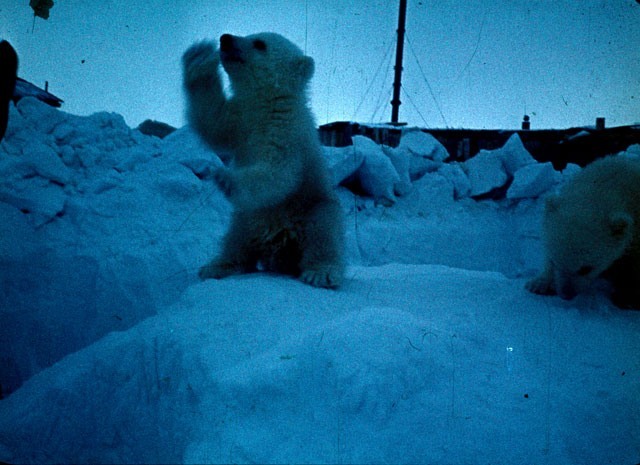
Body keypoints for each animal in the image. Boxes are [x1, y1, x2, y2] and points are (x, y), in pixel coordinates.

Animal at [182, 31, 344, 286]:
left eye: (260, 44)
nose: (225, 38)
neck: (265, 104)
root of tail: (280, 245)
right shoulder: (239, 121)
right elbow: (212, 122)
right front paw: (199, 57)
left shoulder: (286, 133)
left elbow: (277, 173)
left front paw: (226, 178)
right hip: (246, 218)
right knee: (235, 240)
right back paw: (217, 266)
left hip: (314, 206)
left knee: (323, 234)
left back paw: (321, 272)